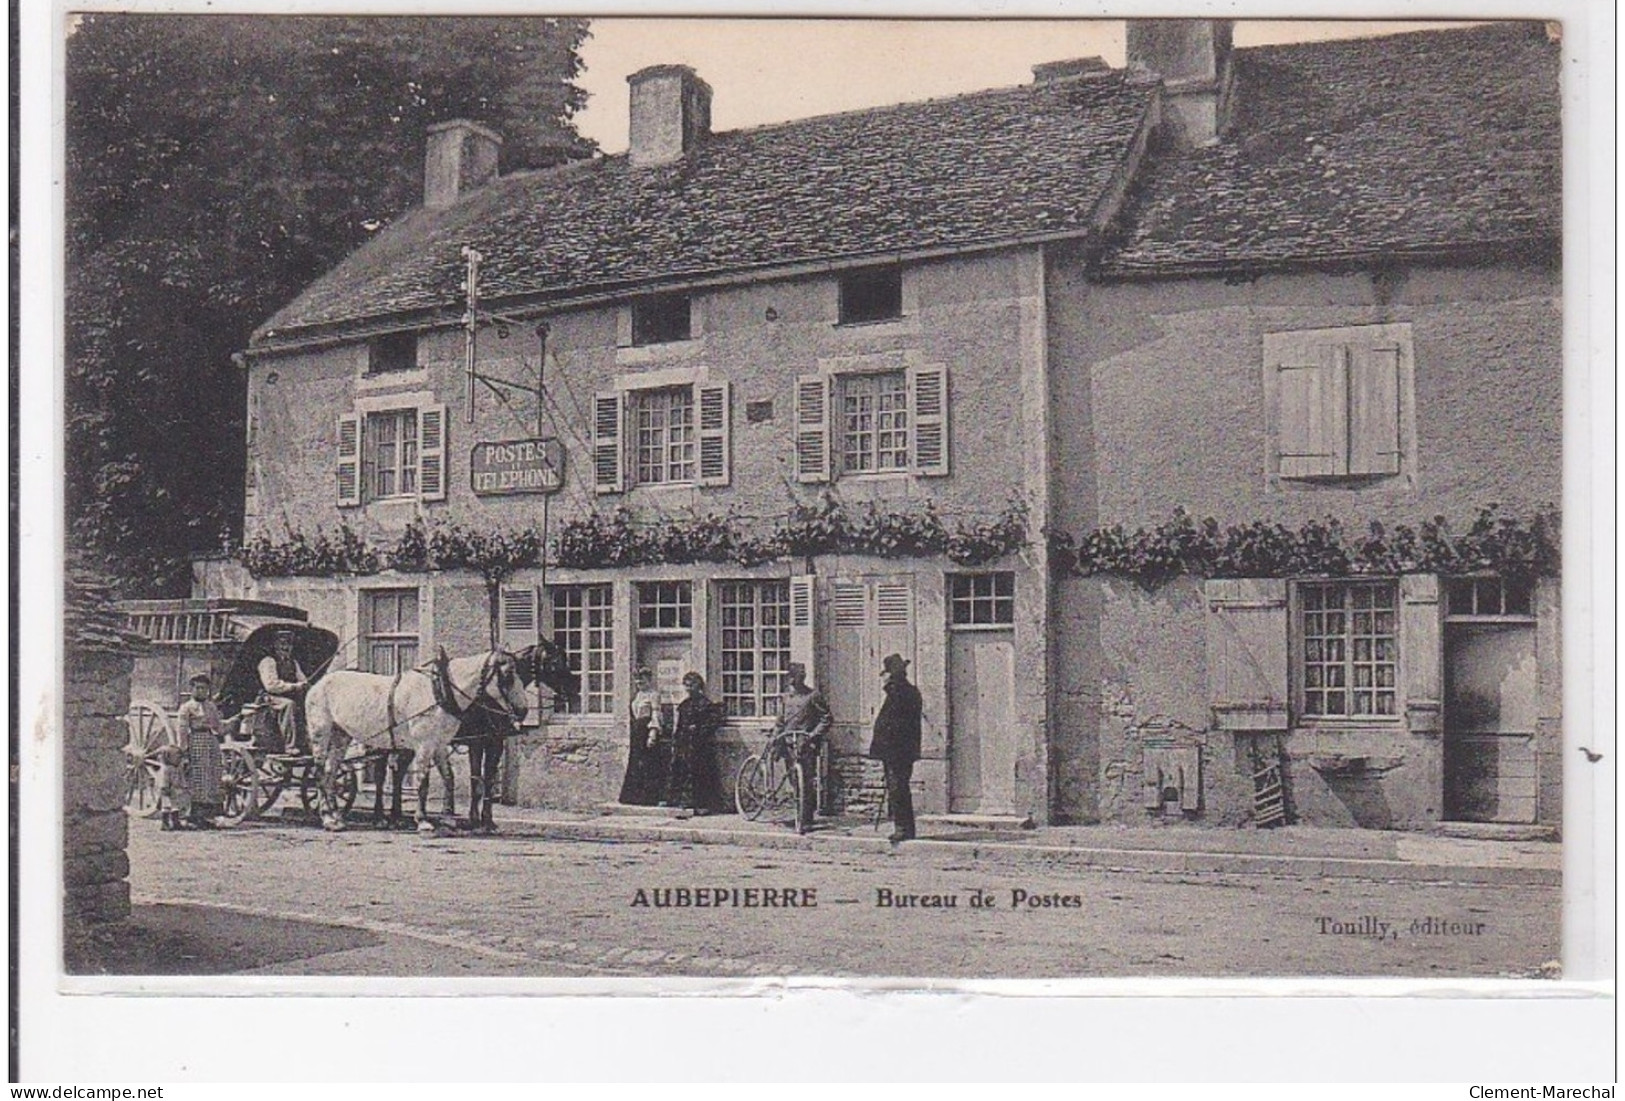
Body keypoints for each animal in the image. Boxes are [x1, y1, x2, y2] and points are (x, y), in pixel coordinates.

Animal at [305, 646, 526, 837]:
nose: (523, 711)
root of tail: (318, 684)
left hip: (340, 735)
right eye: (508, 674)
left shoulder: (439, 745)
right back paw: (328, 818)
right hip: (321, 733)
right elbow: (423, 781)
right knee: (319, 773)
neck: (439, 691)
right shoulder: (424, 745)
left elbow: (449, 778)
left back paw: (336, 816)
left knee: (331, 772)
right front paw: (423, 821)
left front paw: (447, 819)